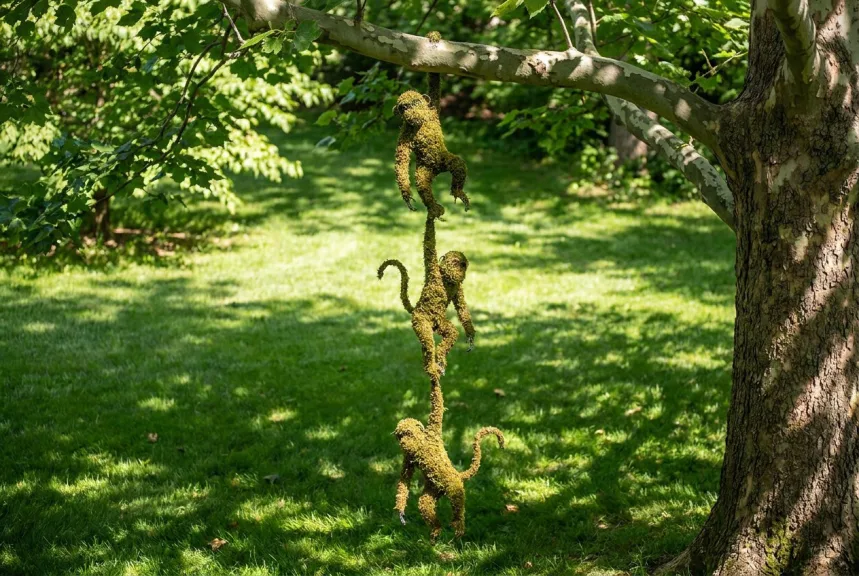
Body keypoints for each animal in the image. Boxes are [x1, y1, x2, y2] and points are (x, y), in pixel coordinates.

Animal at [378, 213, 474, 380]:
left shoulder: (458, 287)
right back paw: (433, 368)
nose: (459, 272)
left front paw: (470, 334)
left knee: (449, 334)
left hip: (437, 323)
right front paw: (432, 214)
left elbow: (462, 309)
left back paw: (437, 362)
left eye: (462, 265)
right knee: (428, 341)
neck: (446, 280)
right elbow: (429, 245)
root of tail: (416, 309)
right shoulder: (434, 270)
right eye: (455, 262)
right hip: (420, 320)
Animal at [393, 34, 469, 220]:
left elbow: (434, 83)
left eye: (415, 103)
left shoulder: (433, 109)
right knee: (422, 186)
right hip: (423, 170)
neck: (421, 122)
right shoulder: (405, 133)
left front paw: (434, 36)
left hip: (445, 159)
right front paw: (406, 194)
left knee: (458, 165)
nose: (411, 112)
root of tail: (437, 170)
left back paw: (458, 193)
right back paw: (434, 208)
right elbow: (401, 161)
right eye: (403, 108)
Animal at [394, 374, 505, 540]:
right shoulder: (408, 457)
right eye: (400, 436)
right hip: (434, 489)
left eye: (408, 433)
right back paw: (436, 530)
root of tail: (458, 475)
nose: (403, 442)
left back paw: (458, 526)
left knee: (456, 499)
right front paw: (400, 511)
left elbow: (437, 404)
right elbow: (405, 480)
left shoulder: (432, 433)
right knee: (424, 503)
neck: (420, 447)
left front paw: (434, 376)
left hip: (453, 485)